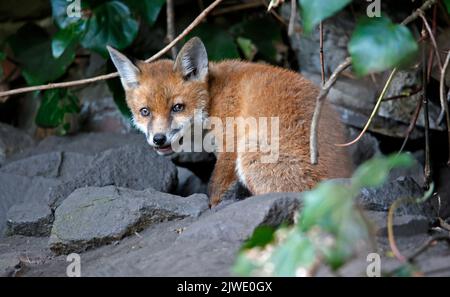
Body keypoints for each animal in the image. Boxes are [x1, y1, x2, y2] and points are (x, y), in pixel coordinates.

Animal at [108, 36, 352, 206]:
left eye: (177, 107)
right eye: (145, 112)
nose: (158, 139)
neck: (213, 99)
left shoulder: (231, 145)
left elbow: (215, 187)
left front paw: (211, 208)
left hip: (251, 153)